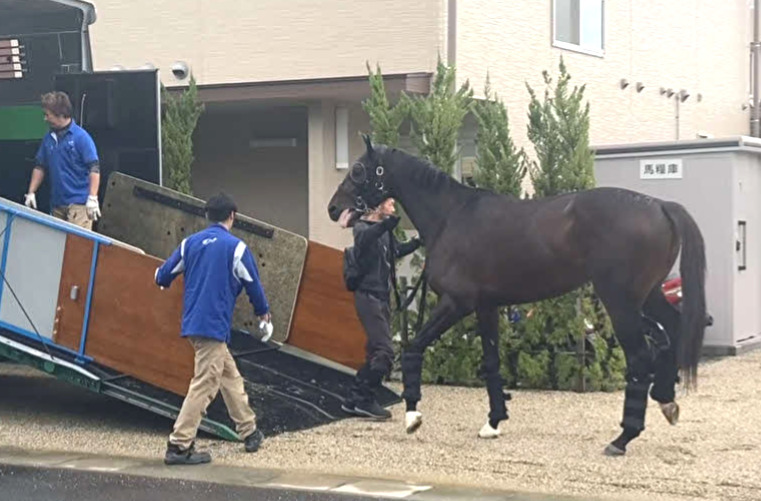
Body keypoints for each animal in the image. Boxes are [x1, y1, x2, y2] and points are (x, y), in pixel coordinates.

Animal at [328, 135, 708, 456]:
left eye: (359, 169)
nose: (333, 208)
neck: (452, 216)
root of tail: (659, 205)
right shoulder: (485, 307)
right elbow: (491, 363)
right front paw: (493, 422)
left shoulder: (456, 304)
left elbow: (414, 348)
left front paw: (412, 415)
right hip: (648, 296)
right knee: (672, 330)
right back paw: (666, 400)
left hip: (622, 303)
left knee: (641, 357)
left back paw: (623, 437)